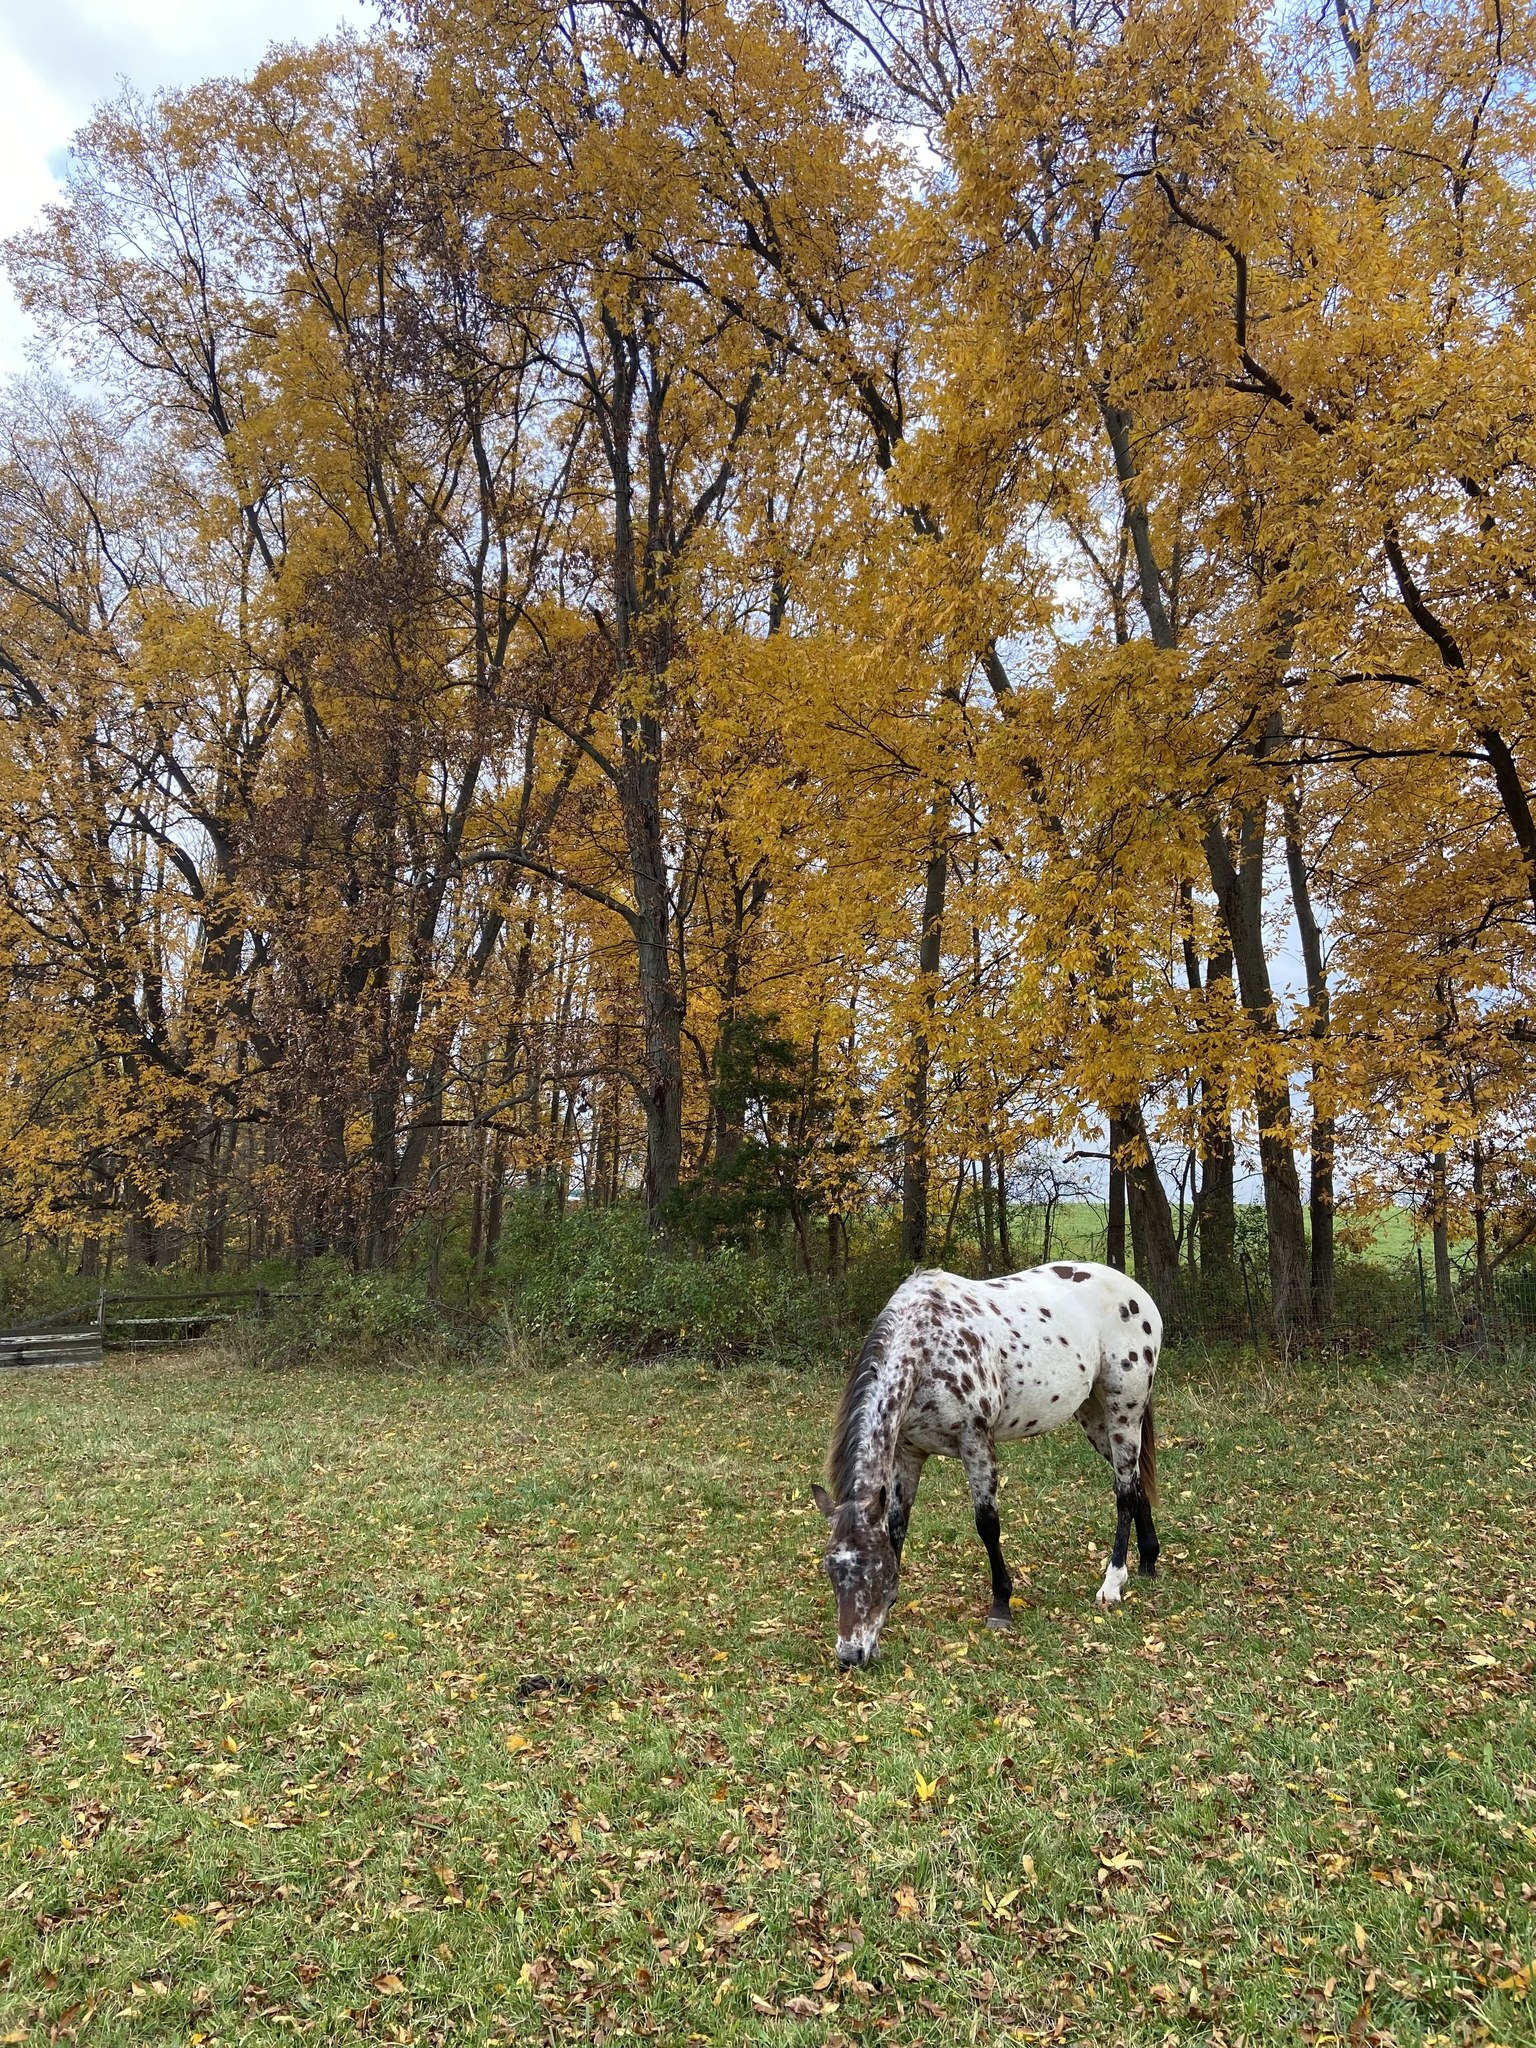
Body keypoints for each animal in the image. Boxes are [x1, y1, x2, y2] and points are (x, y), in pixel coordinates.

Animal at [811, 1261, 1161, 1668]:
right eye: (831, 1568)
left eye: (871, 1569)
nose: (850, 1655)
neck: (927, 1348)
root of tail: (1135, 1292)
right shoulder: (908, 1453)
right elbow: (898, 1526)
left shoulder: (975, 1442)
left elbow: (987, 1524)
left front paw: (1001, 1606)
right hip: (1093, 1414)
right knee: (1134, 1481)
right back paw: (1148, 1560)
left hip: (1124, 1410)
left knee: (1124, 1492)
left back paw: (1112, 1583)